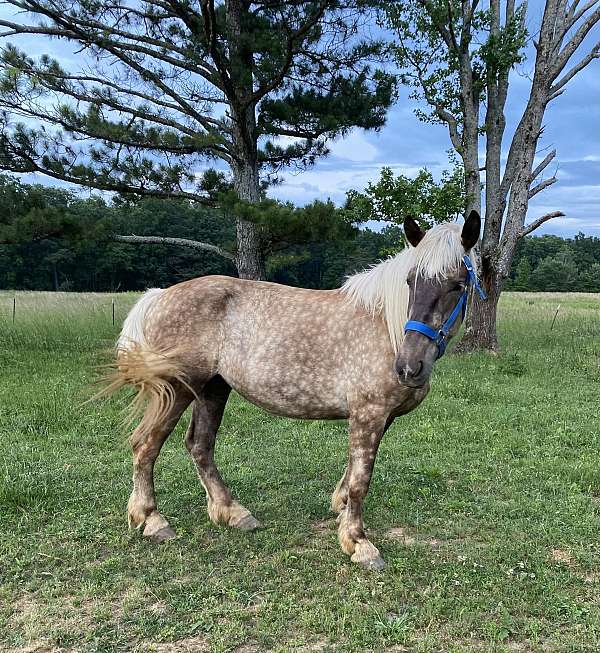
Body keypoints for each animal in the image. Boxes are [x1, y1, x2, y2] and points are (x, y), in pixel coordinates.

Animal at [106, 211, 482, 568]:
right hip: (178, 389)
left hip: (213, 388)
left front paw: (341, 512)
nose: (408, 367)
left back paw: (232, 512)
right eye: (410, 280)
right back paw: (152, 520)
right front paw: (358, 542)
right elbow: (361, 478)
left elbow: (352, 471)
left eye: (458, 284)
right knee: (146, 445)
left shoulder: (379, 417)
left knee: (199, 445)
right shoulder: (369, 413)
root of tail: (159, 296)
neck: (386, 326)